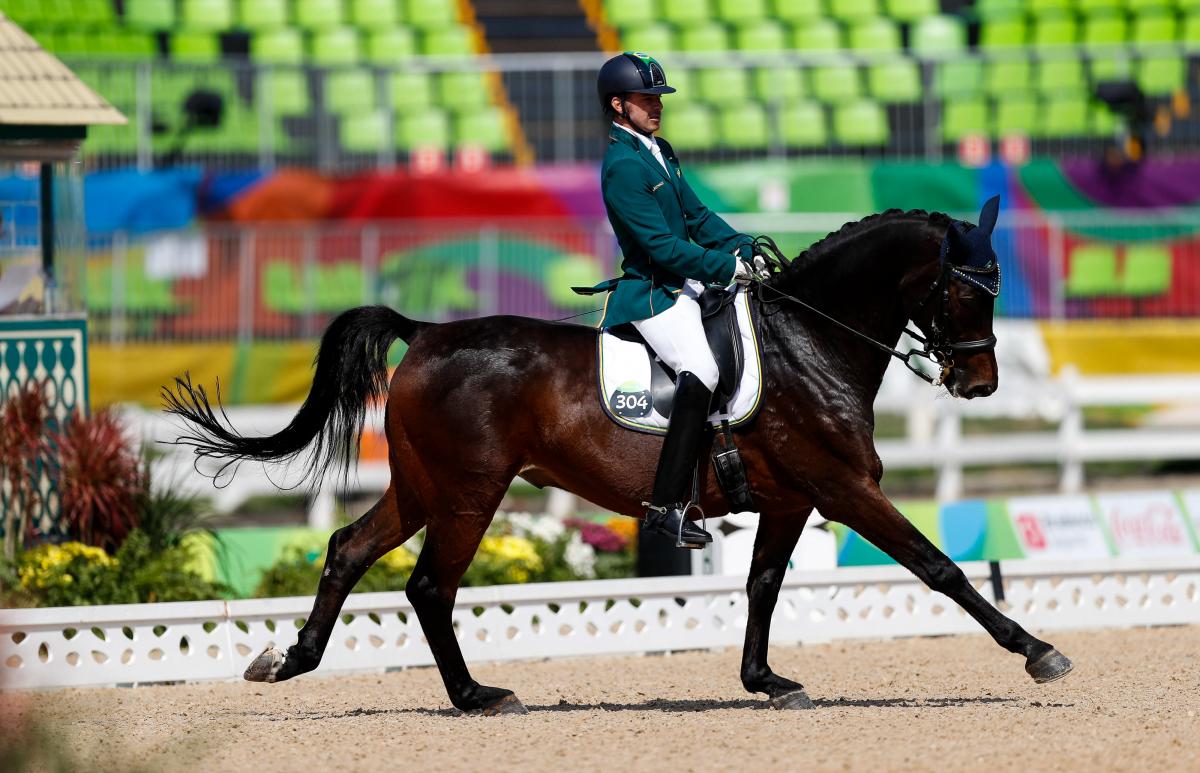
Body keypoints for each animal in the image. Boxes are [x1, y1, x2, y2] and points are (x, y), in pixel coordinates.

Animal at [164, 204, 1075, 710]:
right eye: (966, 289)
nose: (982, 382)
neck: (809, 340)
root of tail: (424, 334)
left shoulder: (792, 499)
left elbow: (763, 584)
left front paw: (765, 680)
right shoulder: (843, 487)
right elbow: (938, 566)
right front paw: (1038, 651)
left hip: (423, 486)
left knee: (348, 548)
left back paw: (291, 659)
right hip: (469, 492)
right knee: (428, 585)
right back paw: (476, 696)